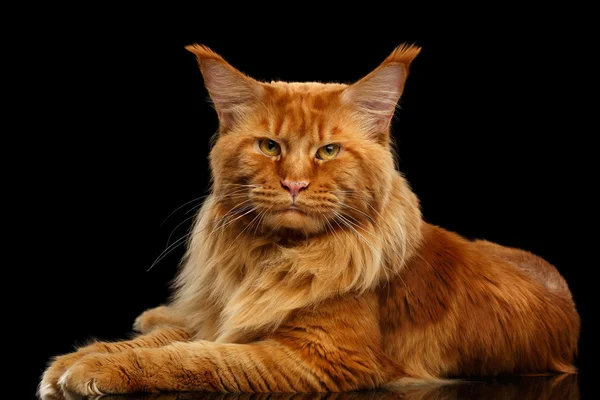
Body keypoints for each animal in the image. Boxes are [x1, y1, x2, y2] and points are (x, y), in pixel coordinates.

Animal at [38, 42, 580, 398]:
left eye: (328, 151)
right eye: (269, 146)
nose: (295, 184)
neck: (268, 256)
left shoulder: (319, 357)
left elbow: (198, 356)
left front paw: (102, 369)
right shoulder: (224, 317)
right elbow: (174, 337)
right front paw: (78, 358)